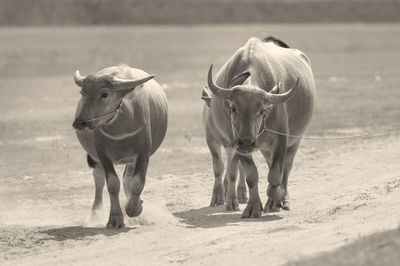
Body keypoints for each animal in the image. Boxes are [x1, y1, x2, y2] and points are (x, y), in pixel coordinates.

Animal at [73, 64, 167, 229]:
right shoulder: (103, 154)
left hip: (131, 159)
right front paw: (115, 219)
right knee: (99, 179)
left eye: (104, 94)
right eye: (82, 92)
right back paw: (95, 214)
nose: (80, 123)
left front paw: (134, 209)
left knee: (127, 179)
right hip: (95, 157)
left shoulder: (143, 152)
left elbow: (137, 182)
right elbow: (112, 184)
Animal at [203, 36, 316, 217]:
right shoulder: (236, 142)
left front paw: (277, 196)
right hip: (261, 147)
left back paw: (282, 201)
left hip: (295, 139)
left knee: (286, 167)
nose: (247, 142)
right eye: (233, 108)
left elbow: (276, 175)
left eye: (262, 111)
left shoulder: (281, 138)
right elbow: (251, 175)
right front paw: (253, 207)